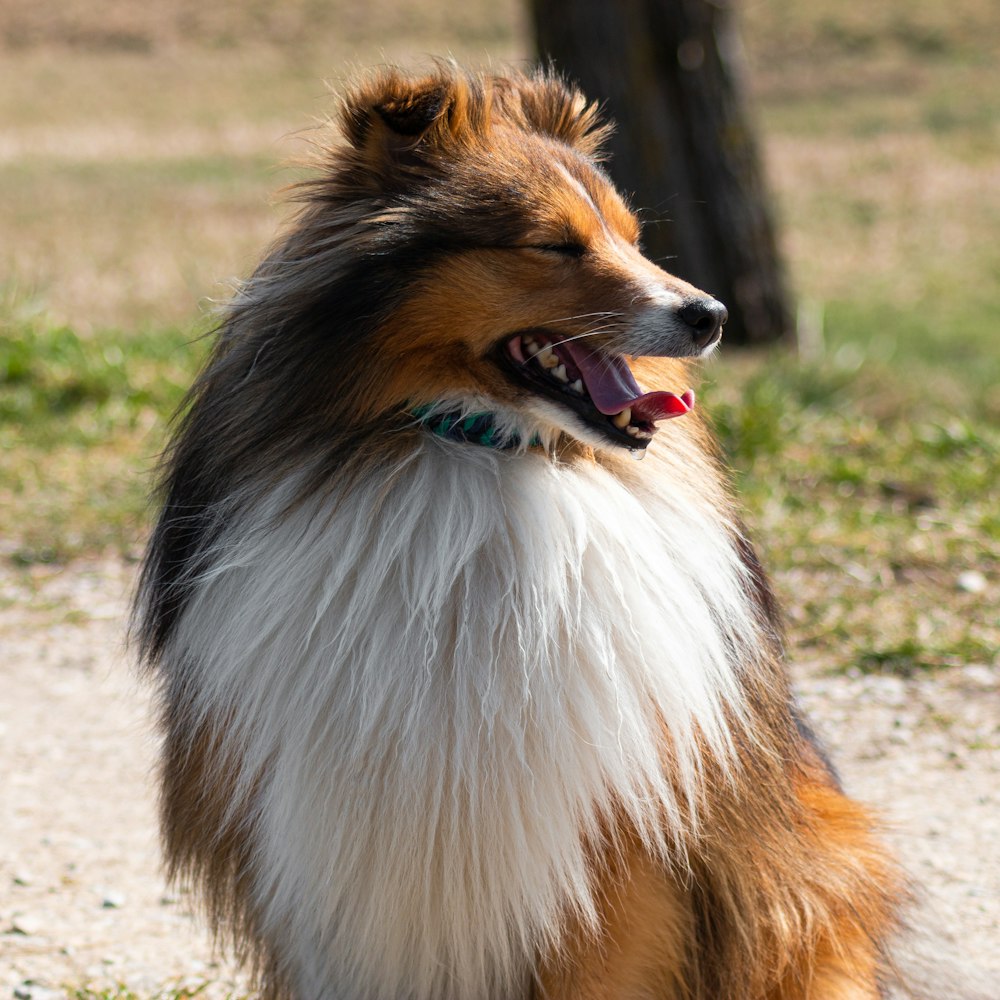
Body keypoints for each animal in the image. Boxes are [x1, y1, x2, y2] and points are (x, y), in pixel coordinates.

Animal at [135, 66, 916, 996]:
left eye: (632, 239)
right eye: (554, 244)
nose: (713, 315)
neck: (482, 450)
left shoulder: (608, 857)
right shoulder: (318, 865)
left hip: (815, 885)